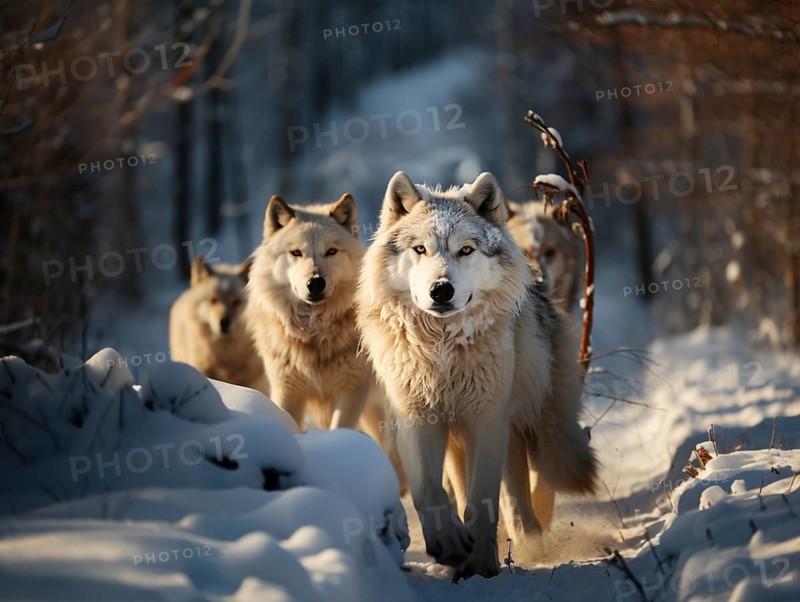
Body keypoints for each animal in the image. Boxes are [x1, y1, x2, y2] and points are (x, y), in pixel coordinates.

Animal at [245, 193, 371, 430]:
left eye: (331, 251)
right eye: (296, 253)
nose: (316, 283)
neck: (313, 331)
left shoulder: (352, 391)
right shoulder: (287, 392)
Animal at [356, 171, 597, 580]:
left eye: (465, 250)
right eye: (420, 249)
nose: (441, 289)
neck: (443, 350)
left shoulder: (488, 421)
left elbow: (484, 500)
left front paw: (483, 562)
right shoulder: (417, 419)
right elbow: (429, 491)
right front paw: (451, 544)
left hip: (526, 421)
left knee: (520, 487)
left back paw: (528, 539)